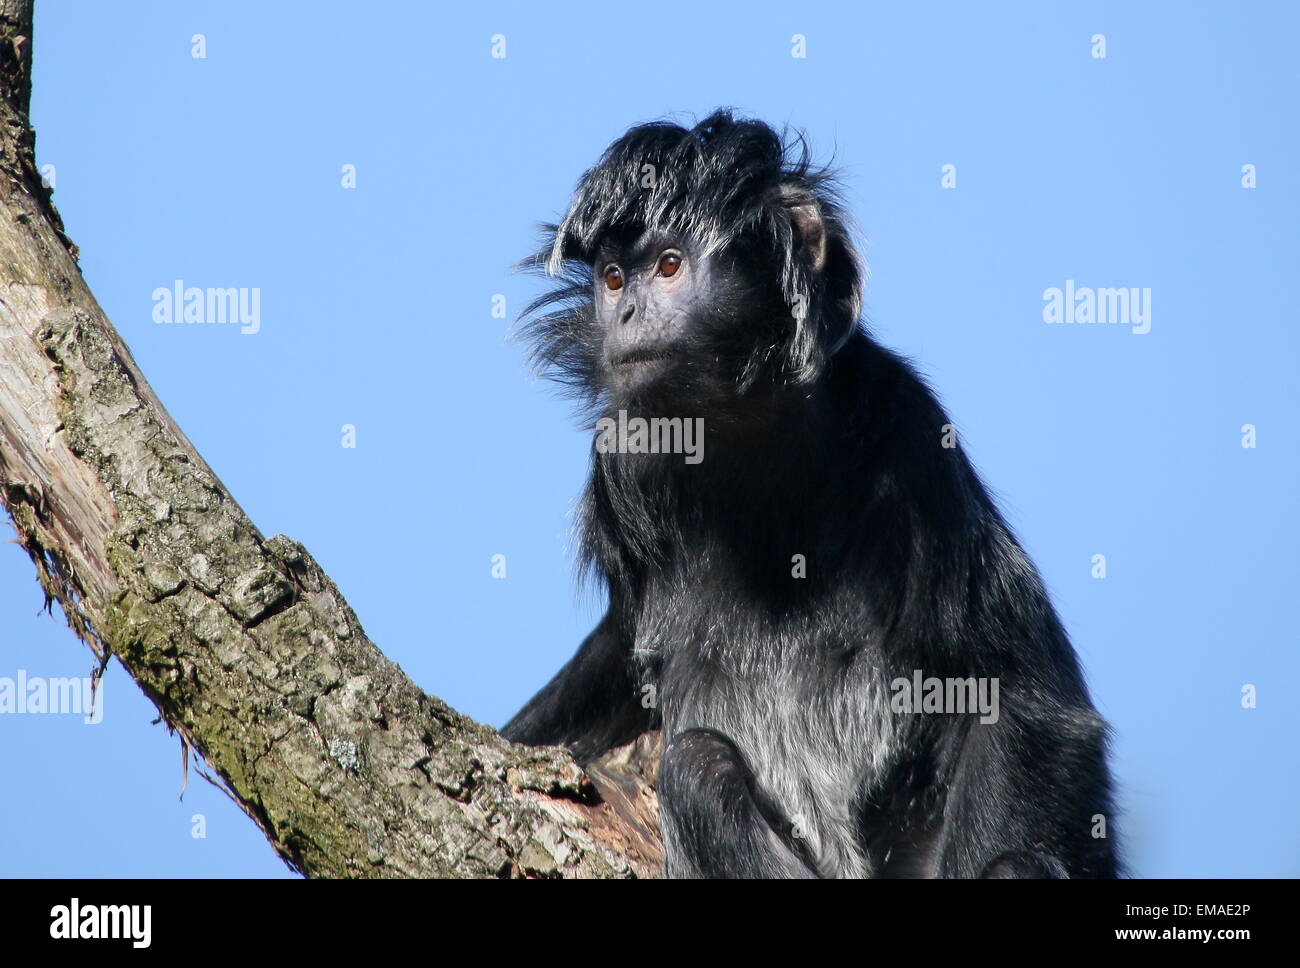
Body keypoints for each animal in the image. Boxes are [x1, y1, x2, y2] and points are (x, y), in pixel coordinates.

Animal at [502, 110, 1118, 879]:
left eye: (669, 265)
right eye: (612, 279)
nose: (626, 311)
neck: (744, 447)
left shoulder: (909, 435)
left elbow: (1024, 696)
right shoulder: (623, 461)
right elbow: (621, 659)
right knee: (699, 767)